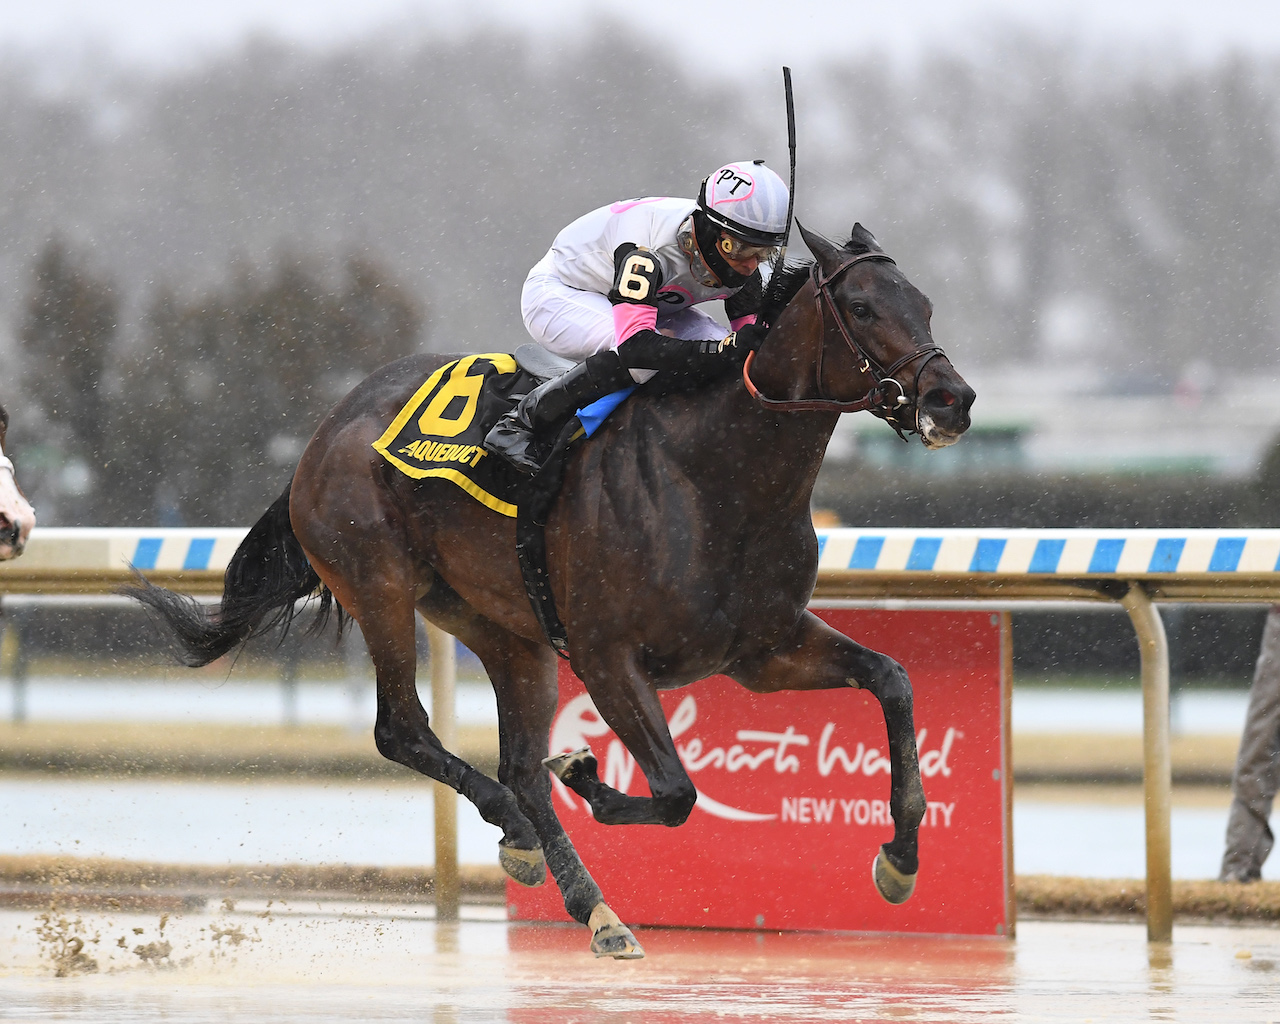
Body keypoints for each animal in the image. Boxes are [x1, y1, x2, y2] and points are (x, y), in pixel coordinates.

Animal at [132, 221, 967, 952]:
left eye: (926, 303)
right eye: (864, 308)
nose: (951, 399)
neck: (717, 476)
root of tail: (326, 429)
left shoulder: (762, 650)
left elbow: (891, 680)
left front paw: (900, 860)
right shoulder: (608, 658)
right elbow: (674, 790)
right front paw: (587, 772)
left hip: (505, 629)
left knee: (516, 768)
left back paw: (590, 905)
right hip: (380, 583)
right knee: (407, 732)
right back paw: (528, 836)